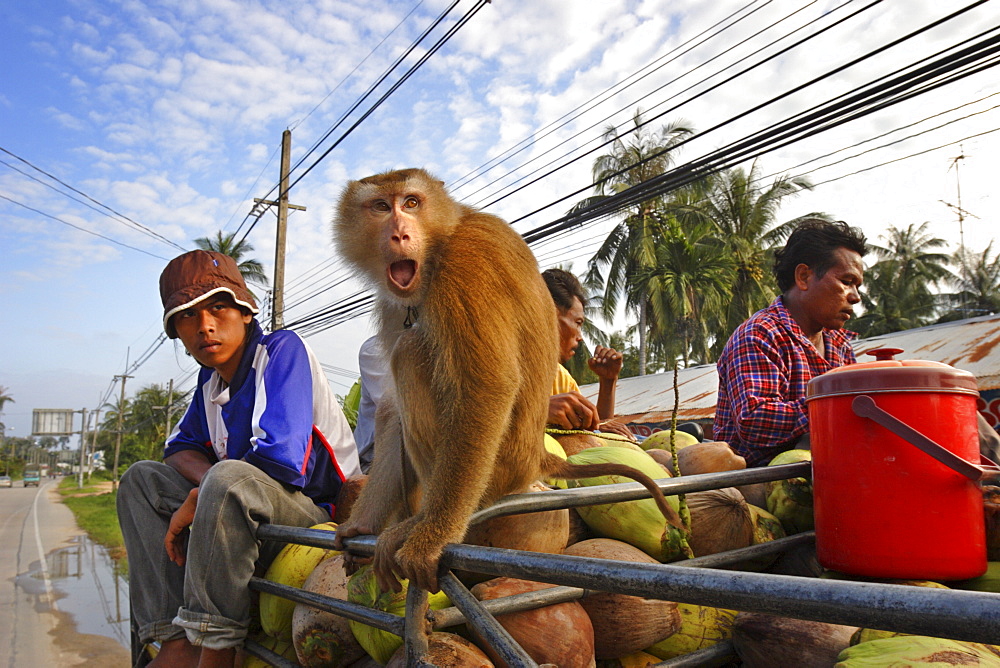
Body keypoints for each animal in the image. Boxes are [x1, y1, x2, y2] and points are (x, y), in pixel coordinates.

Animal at [332, 168, 684, 596]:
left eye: (411, 203)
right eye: (382, 206)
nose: (399, 233)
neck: (440, 244)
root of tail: (537, 457)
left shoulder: (465, 264)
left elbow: (486, 387)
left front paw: (432, 537)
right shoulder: (393, 302)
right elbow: (392, 410)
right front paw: (361, 525)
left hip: (500, 467)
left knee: (411, 352)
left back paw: (421, 523)